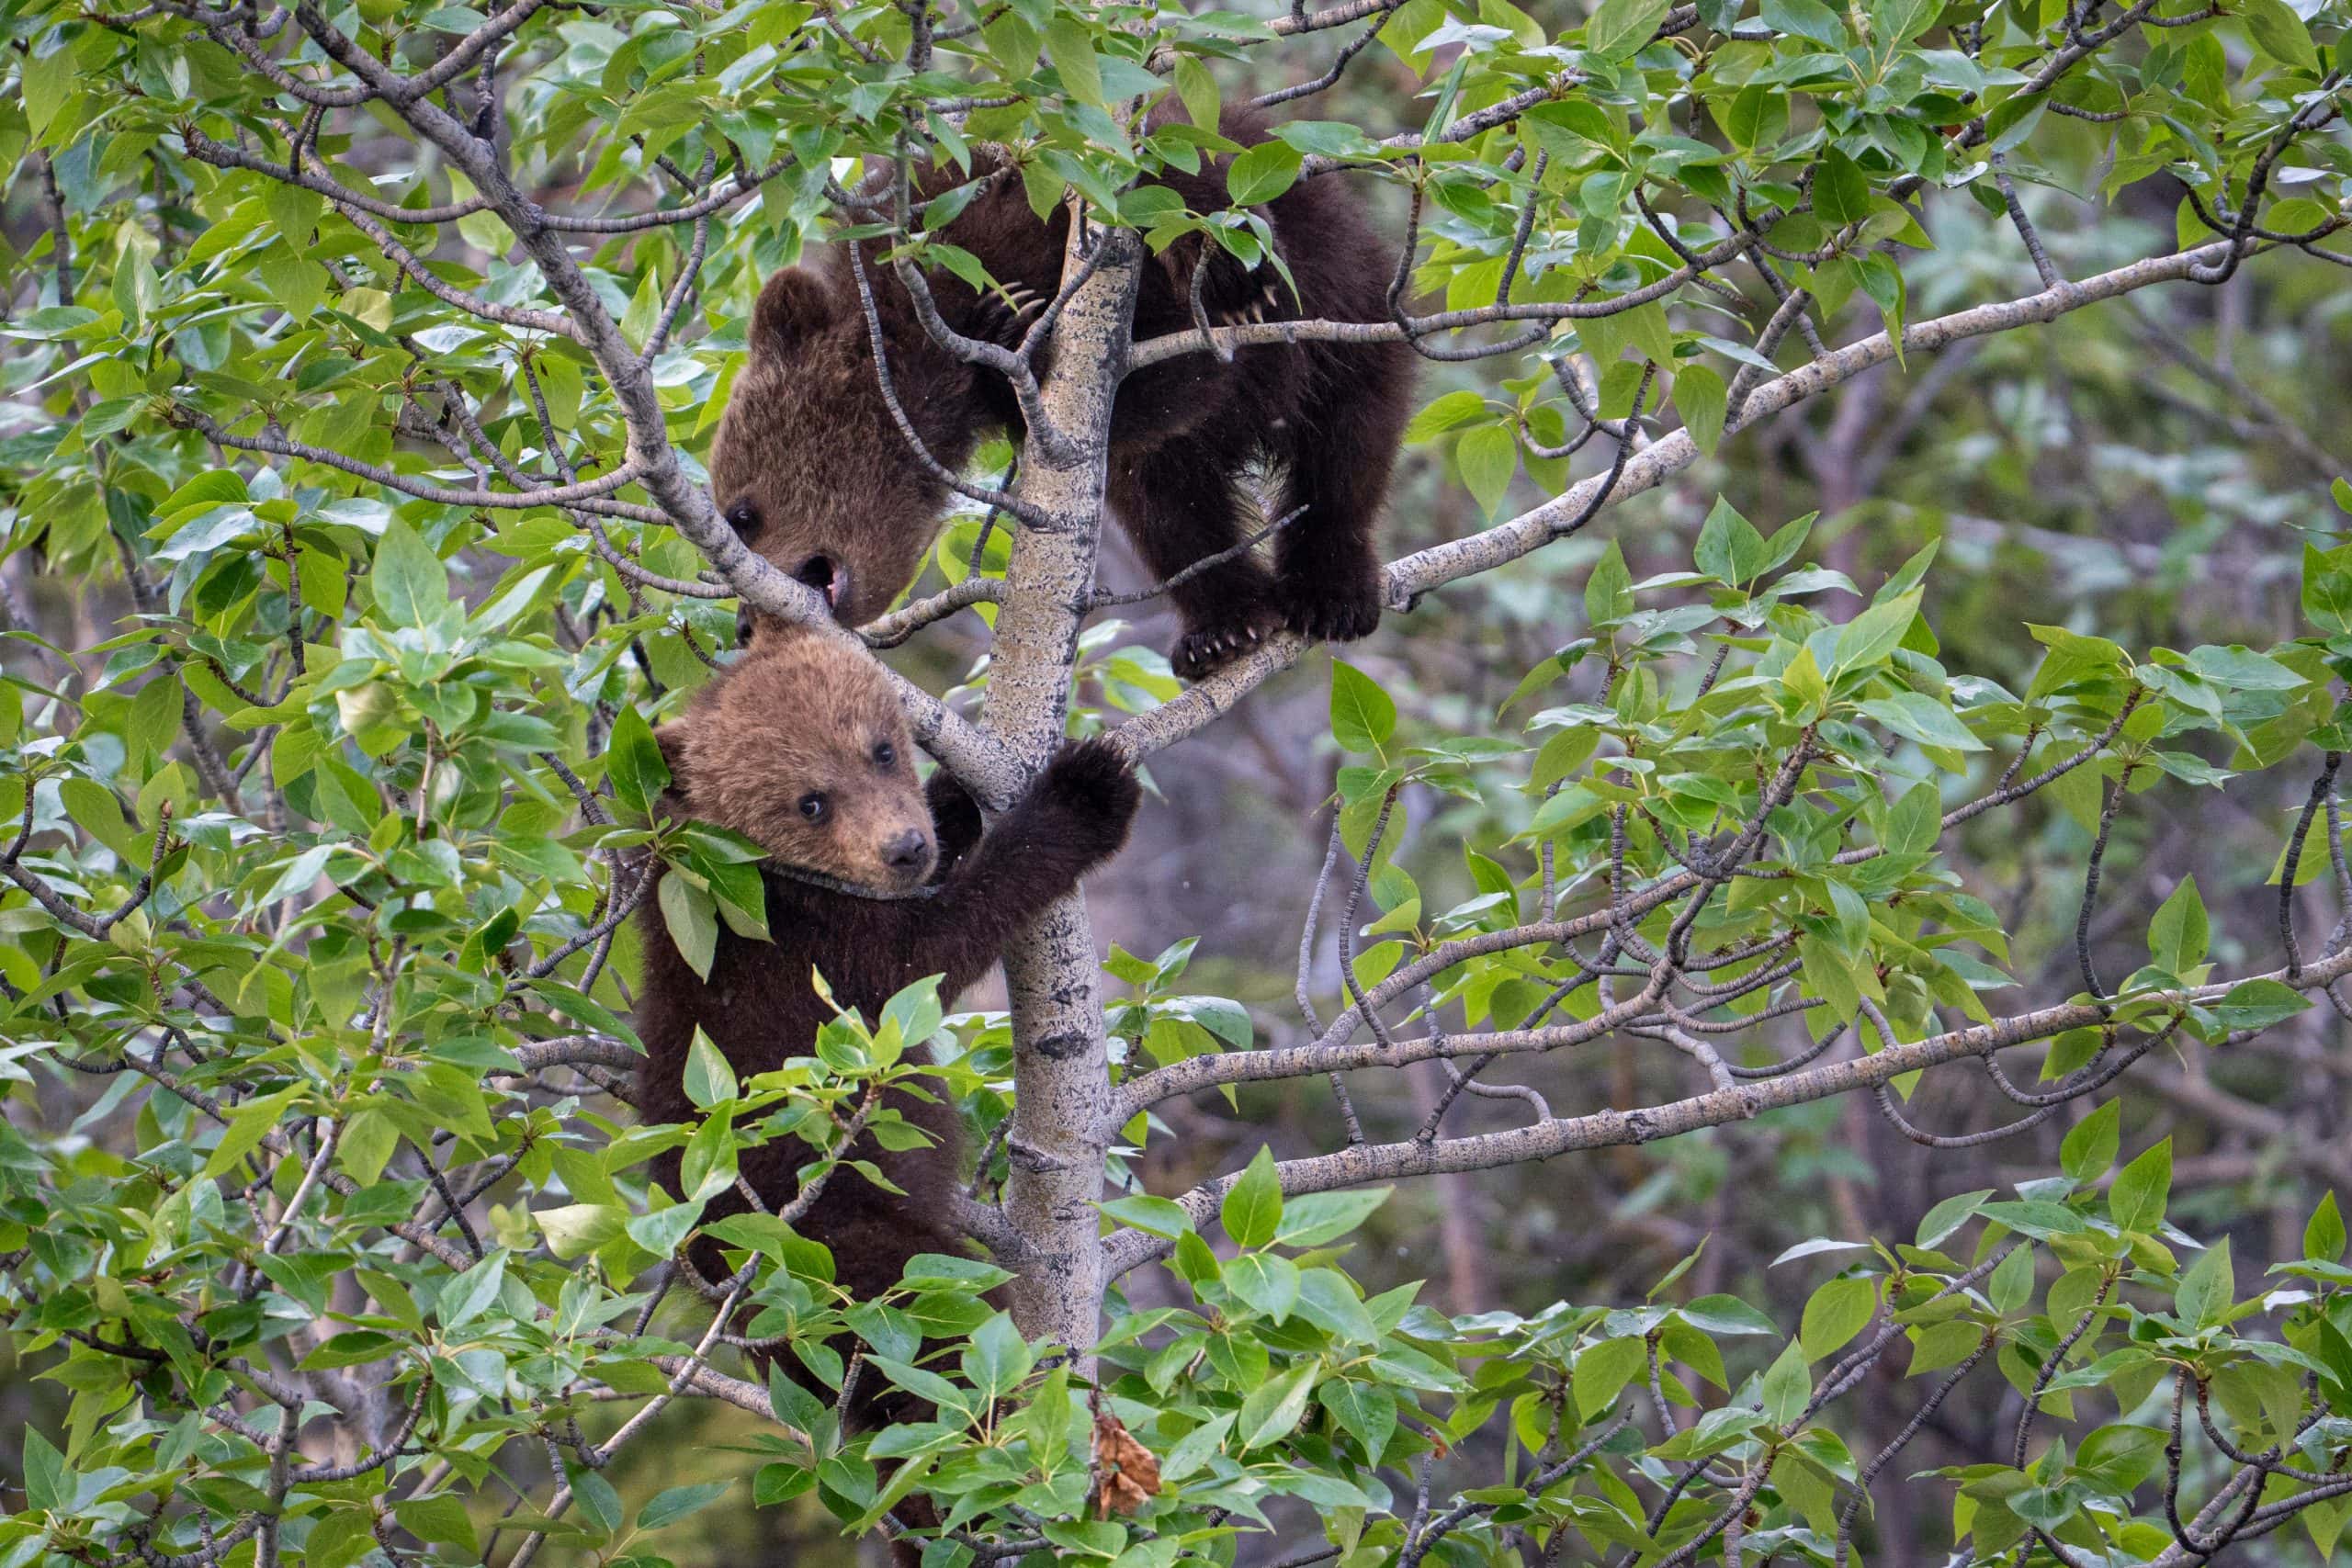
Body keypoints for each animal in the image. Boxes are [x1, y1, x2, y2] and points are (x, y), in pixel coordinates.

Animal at [632, 627, 1142, 1431]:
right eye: (810, 801)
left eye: (879, 748)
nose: (904, 847)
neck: (750, 874)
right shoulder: (808, 945)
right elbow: (933, 947)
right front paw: (1084, 790)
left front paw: (960, 791)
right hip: (856, 1262)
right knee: (944, 1334)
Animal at [707, 106, 1418, 679]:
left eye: (740, 514)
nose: (744, 625)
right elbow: (1162, 409)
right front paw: (1016, 328)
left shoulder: (1012, 197)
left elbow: (1169, 173)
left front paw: (1236, 278)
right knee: (1171, 507)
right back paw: (1223, 629)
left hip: (1351, 317)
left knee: (1348, 448)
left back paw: (1331, 591)